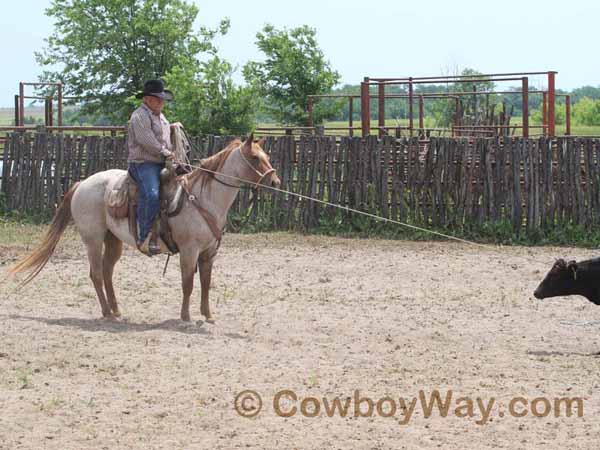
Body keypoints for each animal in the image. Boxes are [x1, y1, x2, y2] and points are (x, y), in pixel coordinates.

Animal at [9, 135, 282, 322]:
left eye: (267, 155)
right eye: (255, 158)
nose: (275, 180)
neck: (204, 199)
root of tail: (81, 183)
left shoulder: (208, 252)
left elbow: (205, 282)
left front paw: (208, 315)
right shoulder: (189, 251)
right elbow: (188, 283)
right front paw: (186, 316)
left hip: (113, 239)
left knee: (107, 272)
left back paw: (117, 309)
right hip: (93, 239)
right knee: (96, 273)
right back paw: (107, 312)